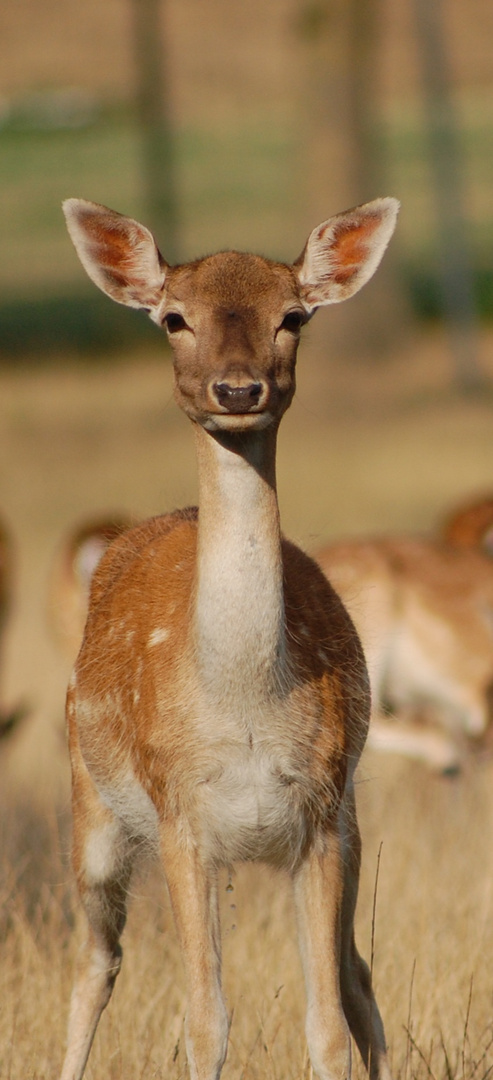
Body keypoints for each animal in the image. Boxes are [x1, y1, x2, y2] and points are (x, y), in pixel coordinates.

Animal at [60, 194, 400, 1080]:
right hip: (92, 807)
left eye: (294, 316)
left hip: (352, 822)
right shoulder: (181, 816)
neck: (244, 702)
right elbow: (204, 1020)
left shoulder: (318, 812)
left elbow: (327, 1024)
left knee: (357, 975)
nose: (238, 387)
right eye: (173, 318)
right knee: (95, 964)